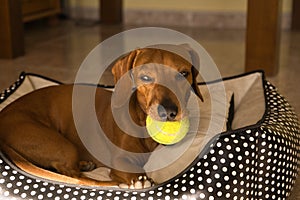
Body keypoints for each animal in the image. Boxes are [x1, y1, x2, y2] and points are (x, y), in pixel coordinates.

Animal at [0, 44, 204, 189]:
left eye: (183, 73)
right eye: (145, 77)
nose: (169, 112)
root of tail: (3, 114)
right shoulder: (120, 159)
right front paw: (140, 180)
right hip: (60, 144)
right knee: (70, 174)